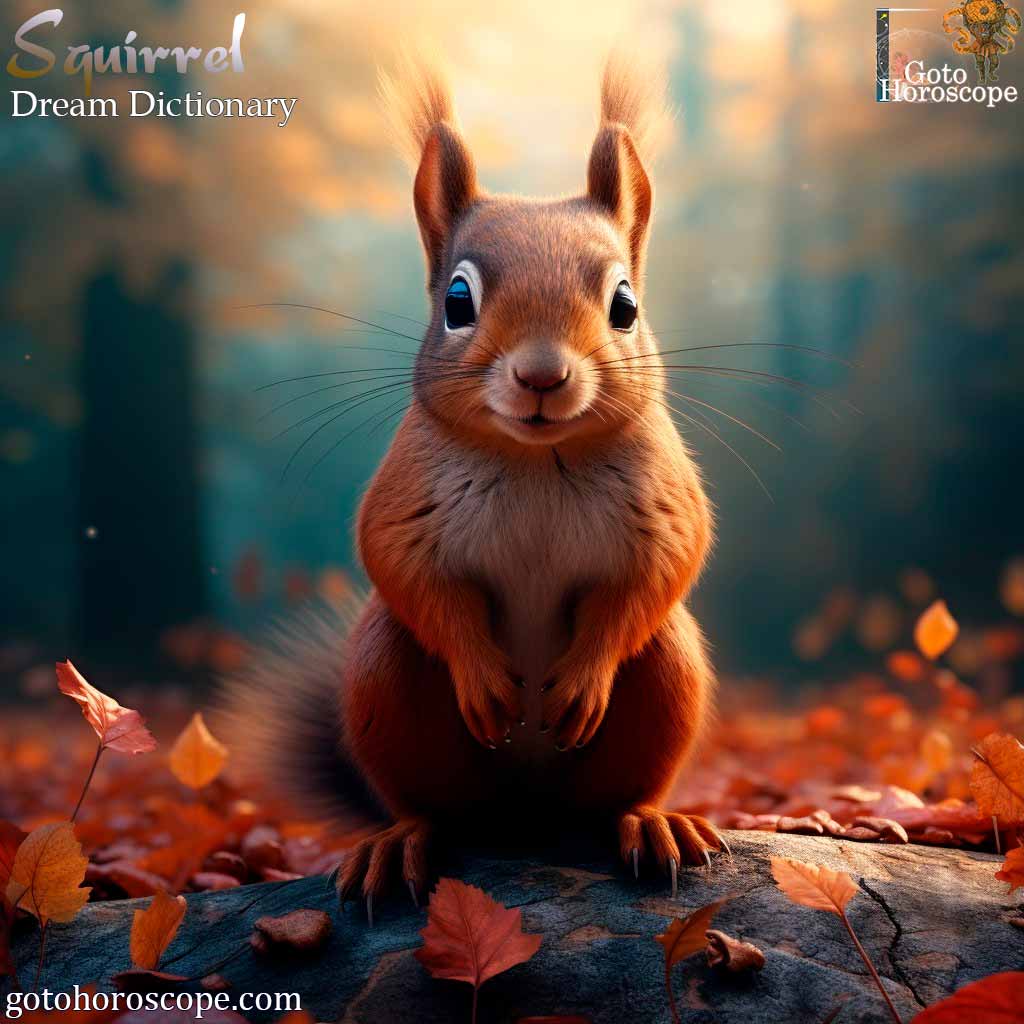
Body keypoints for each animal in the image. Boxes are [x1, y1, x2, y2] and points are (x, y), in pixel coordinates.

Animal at [223, 54, 726, 915]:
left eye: (625, 305)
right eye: (457, 301)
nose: (542, 375)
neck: (535, 462)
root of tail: (524, 821)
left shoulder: (666, 505)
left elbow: (658, 573)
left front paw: (582, 679)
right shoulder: (404, 501)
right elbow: (405, 570)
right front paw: (484, 677)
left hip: (667, 674)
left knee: (618, 784)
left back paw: (650, 823)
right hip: (385, 674)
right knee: (435, 807)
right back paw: (399, 842)